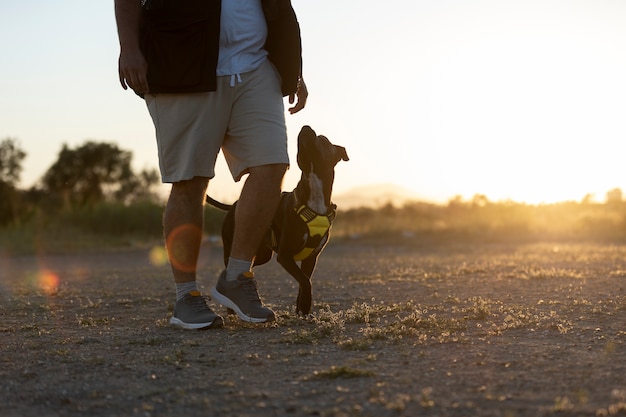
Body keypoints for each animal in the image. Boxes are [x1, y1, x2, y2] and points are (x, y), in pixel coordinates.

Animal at [206, 125, 348, 314]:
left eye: (322, 139)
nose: (306, 127)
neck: (314, 193)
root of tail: (233, 205)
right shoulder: (285, 256)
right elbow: (305, 281)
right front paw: (304, 305)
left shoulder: (311, 258)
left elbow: (304, 280)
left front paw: (302, 307)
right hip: (233, 245)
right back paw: (230, 308)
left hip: (262, 254)